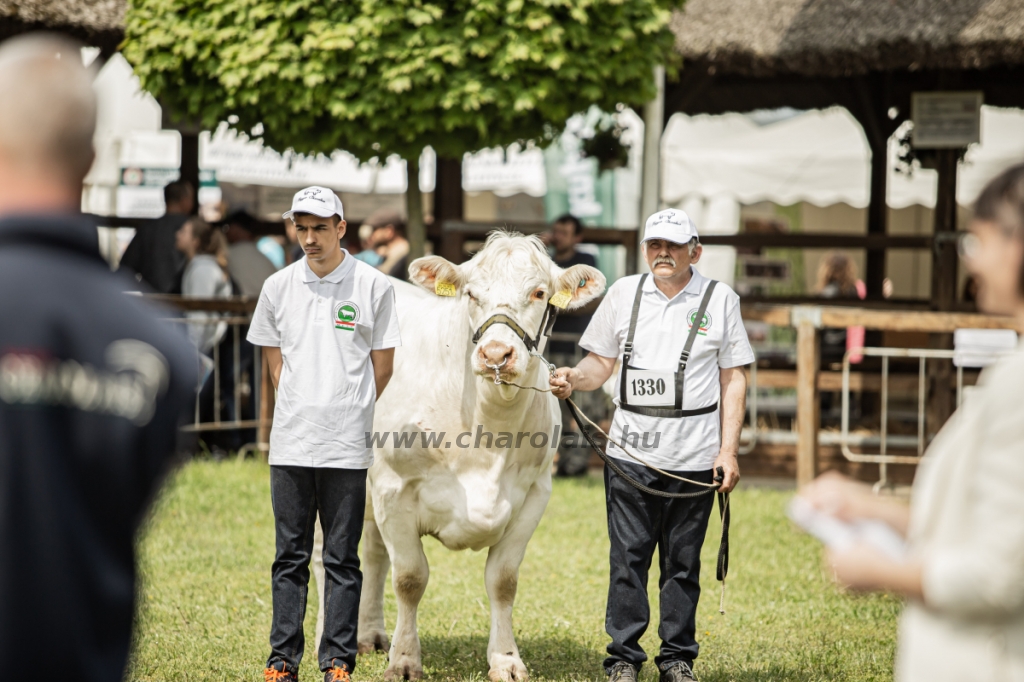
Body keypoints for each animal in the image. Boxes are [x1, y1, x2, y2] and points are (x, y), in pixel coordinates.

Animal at [311, 231, 598, 675]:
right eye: (471, 294)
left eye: (538, 292)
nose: (496, 354)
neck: (486, 435)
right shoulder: (394, 488)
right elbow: (410, 578)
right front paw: (404, 661)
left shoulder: (535, 494)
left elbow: (503, 580)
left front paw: (506, 660)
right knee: (324, 556)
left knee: (373, 553)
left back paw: (370, 634)